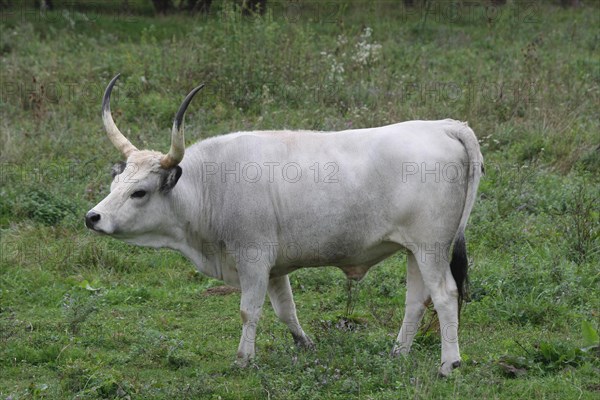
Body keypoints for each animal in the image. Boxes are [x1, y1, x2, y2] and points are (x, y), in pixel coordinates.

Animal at [86, 74, 482, 376]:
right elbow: (284, 309)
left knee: (445, 295)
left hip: (431, 248)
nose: (93, 217)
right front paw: (304, 343)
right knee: (416, 299)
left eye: (139, 192)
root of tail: (446, 126)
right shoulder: (274, 267)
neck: (212, 186)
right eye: (114, 184)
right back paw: (398, 352)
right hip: (414, 249)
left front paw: (243, 359)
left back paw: (449, 364)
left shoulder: (253, 258)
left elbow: (249, 310)